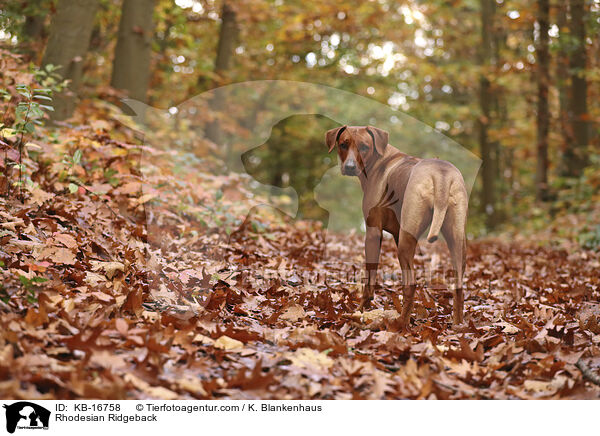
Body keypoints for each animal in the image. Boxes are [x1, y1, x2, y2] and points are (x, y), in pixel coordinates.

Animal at [324, 124, 468, 328]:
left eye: (364, 147)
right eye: (343, 144)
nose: (350, 167)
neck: (379, 160)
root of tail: (441, 175)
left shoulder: (373, 232)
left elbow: (369, 280)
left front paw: (360, 311)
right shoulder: (397, 234)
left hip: (407, 240)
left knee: (411, 284)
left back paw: (400, 324)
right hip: (456, 239)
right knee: (459, 286)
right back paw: (458, 326)